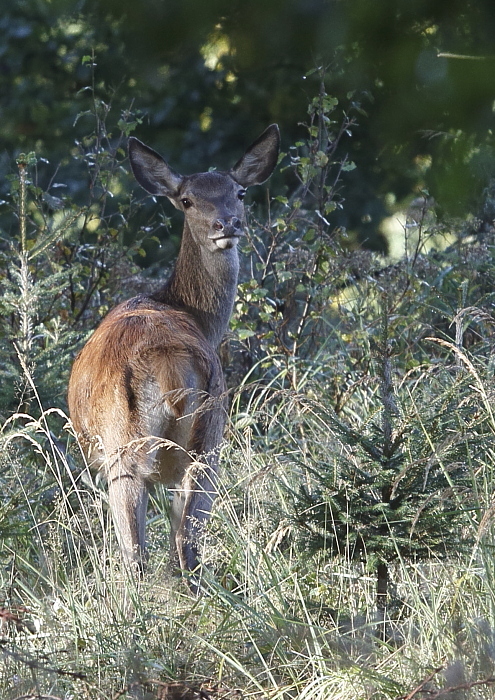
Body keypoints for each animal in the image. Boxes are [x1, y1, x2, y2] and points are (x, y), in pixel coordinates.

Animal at [68, 123, 280, 588]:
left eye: (240, 192)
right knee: (187, 546)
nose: (227, 223)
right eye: (187, 199)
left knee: (139, 557)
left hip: (126, 449)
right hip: (207, 440)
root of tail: (167, 363)